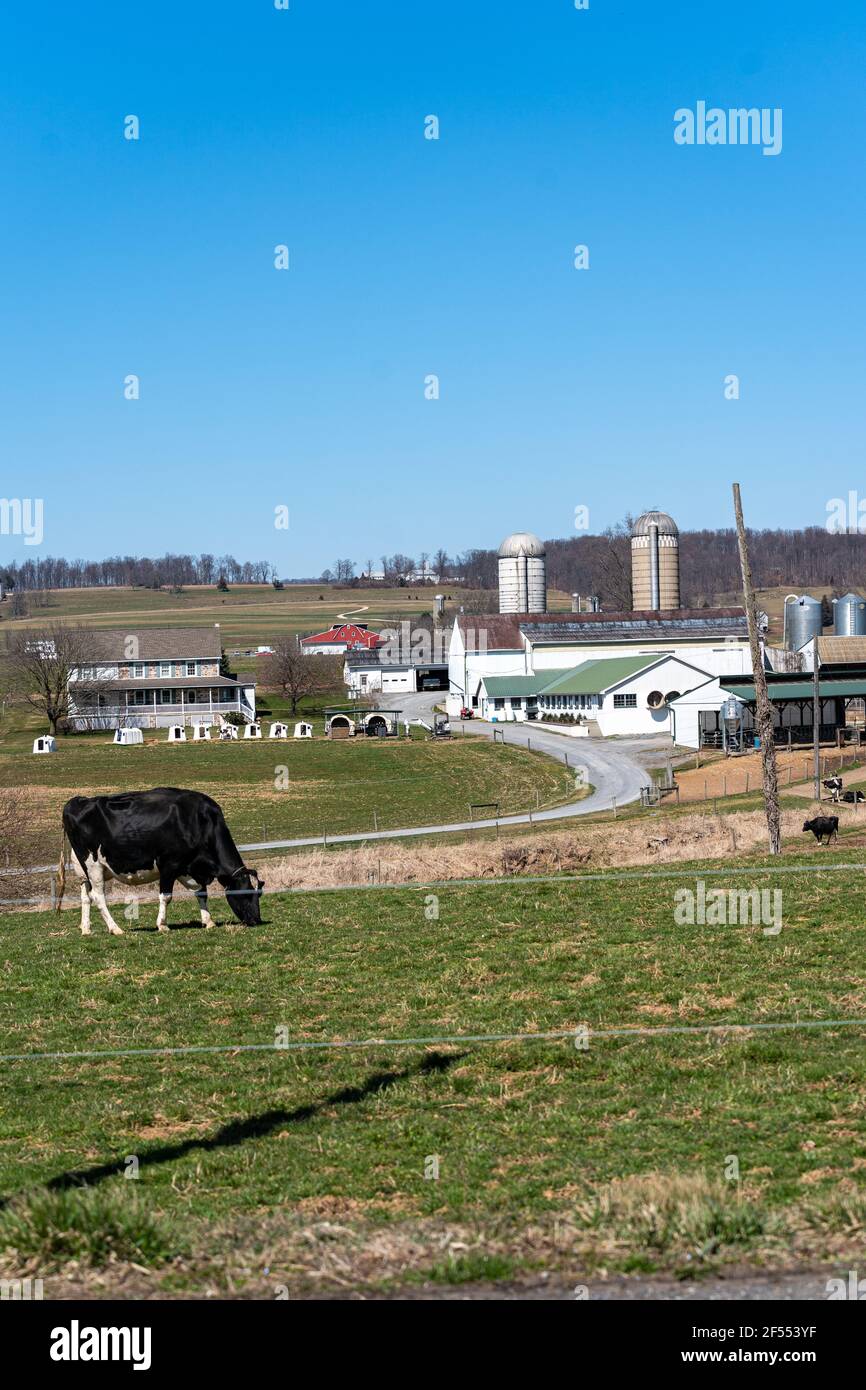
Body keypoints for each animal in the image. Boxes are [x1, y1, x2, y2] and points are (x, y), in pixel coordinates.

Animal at [56, 789, 264, 939]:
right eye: (245, 893)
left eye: (258, 895)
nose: (256, 920)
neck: (199, 821)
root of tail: (78, 801)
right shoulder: (169, 865)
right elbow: (166, 896)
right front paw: (162, 925)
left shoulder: (189, 867)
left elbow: (201, 893)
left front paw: (208, 921)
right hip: (94, 865)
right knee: (98, 896)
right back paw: (115, 928)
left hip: (84, 872)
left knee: (85, 896)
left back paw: (86, 929)